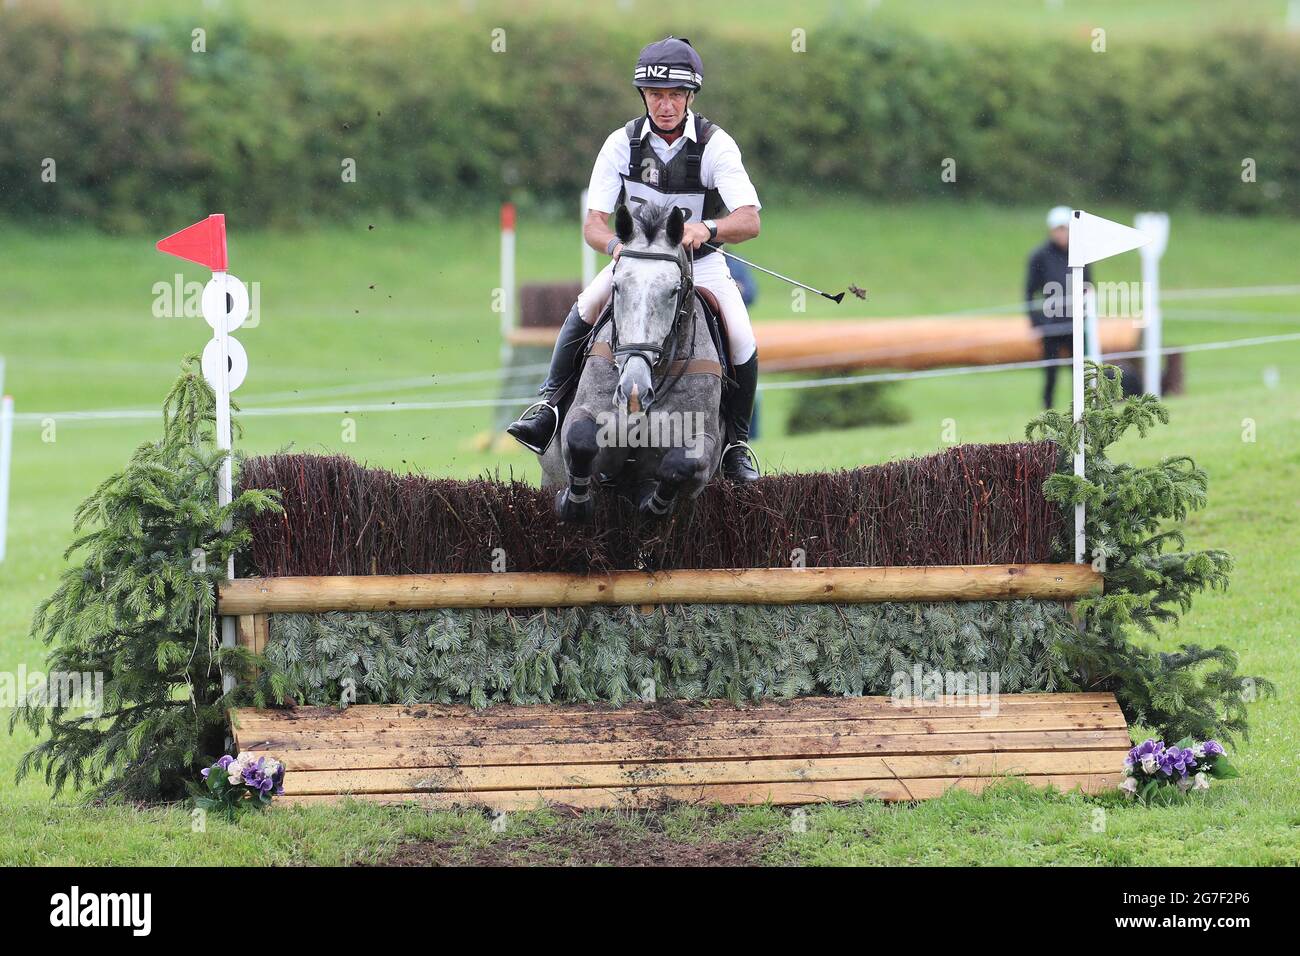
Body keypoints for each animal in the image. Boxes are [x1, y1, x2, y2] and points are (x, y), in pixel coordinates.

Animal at [535, 201, 728, 522]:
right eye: (617, 286)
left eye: (673, 290)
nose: (633, 390)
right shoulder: (585, 413)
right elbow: (581, 439)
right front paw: (574, 503)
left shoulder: (705, 443)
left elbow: (680, 464)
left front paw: (654, 503)